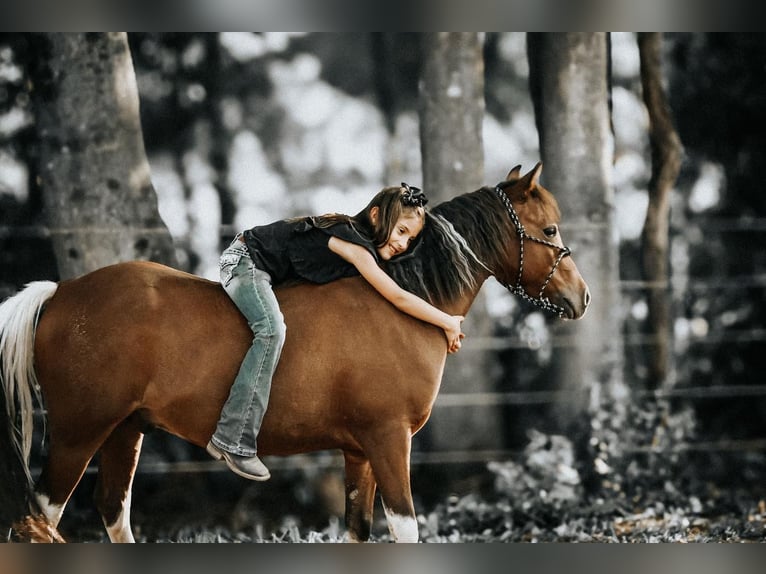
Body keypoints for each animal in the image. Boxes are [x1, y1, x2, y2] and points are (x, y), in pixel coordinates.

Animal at [0, 163, 592, 544]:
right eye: (550, 228)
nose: (582, 297)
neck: (404, 300)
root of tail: (59, 294)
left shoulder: (360, 452)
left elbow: (358, 533)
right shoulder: (388, 441)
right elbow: (405, 529)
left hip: (126, 430)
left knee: (111, 511)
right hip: (79, 432)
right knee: (42, 518)